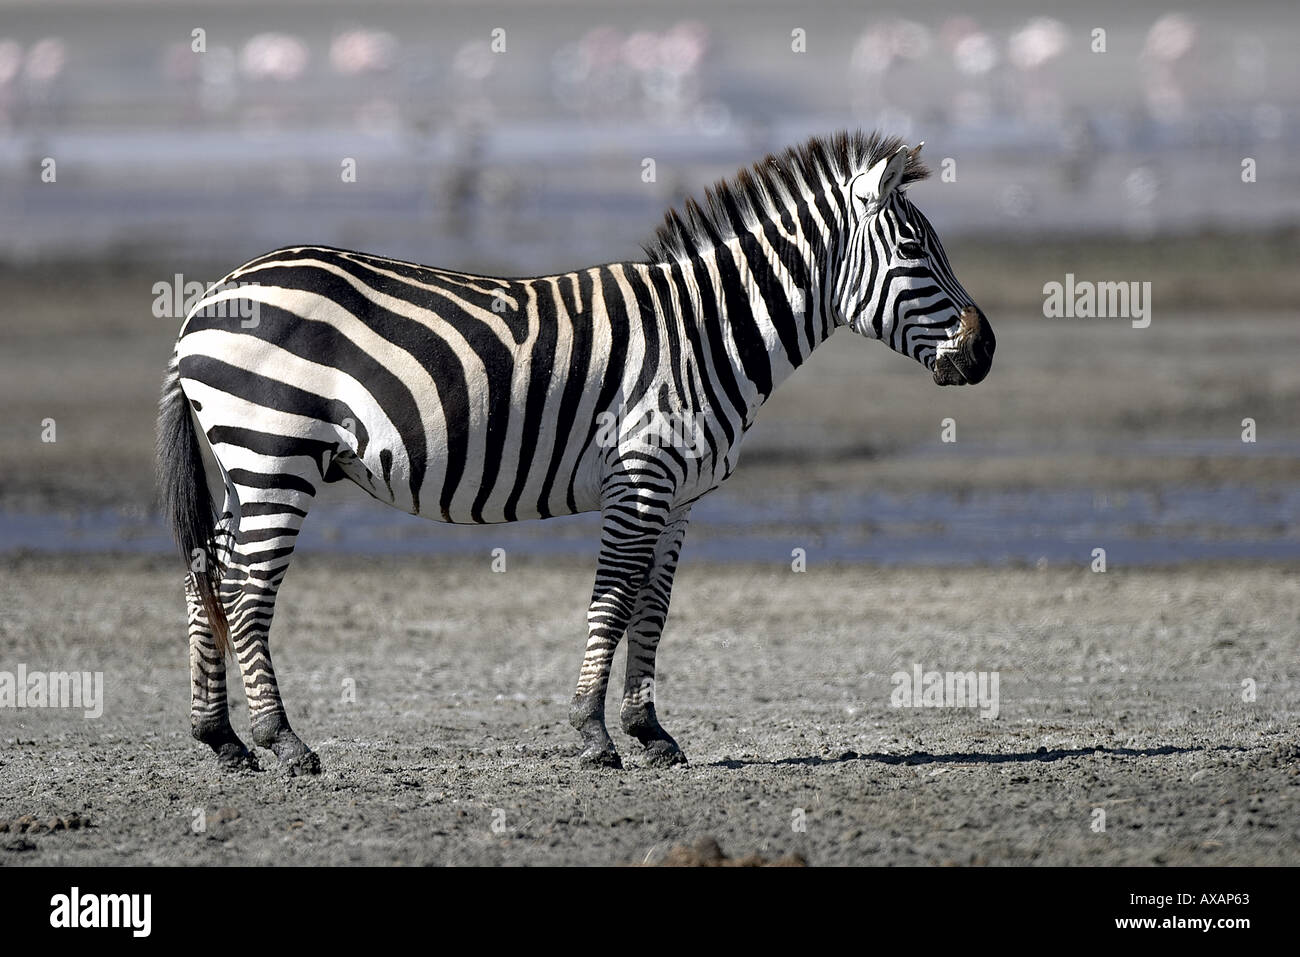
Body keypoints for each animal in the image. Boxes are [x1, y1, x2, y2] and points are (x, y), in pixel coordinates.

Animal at [157, 130, 995, 774]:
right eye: (915, 248)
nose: (985, 351)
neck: (707, 331)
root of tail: (208, 299)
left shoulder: (680, 496)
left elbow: (654, 607)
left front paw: (650, 732)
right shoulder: (642, 476)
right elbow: (614, 597)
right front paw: (594, 735)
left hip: (243, 467)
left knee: (208, 575)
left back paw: (222, 739)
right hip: (274, 455)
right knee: (246, 592)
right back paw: (284, 742)